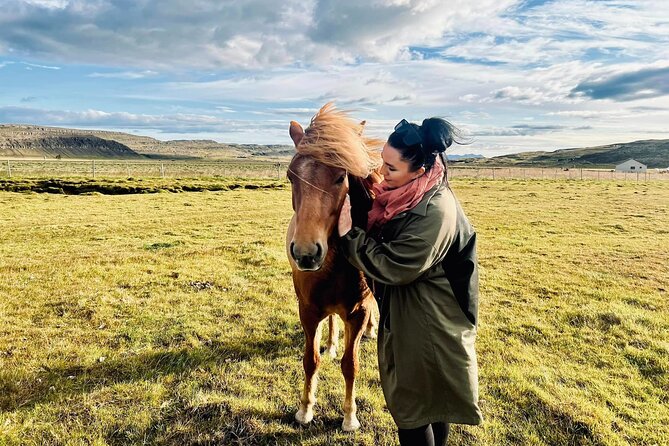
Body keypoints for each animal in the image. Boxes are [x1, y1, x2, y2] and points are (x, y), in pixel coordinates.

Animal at [286, 103, 382, 431]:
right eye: (291, 176)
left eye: (341, 177)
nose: (305, 253)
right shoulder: (307, 310)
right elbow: (310, 360)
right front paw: (305, 409)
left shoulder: (358, 312)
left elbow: (350, 365)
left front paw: (350, 417)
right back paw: (330, 344)